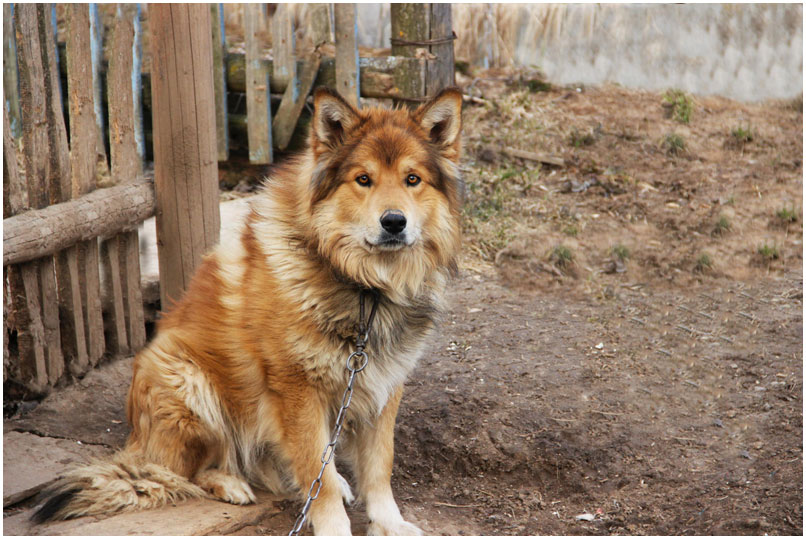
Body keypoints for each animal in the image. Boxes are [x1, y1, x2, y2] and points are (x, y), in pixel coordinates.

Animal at [33, 87, 464, 535]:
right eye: (363, 179)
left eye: (412, 180)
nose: (394, 222)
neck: (363, 285)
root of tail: (136, 440)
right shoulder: (297, 391)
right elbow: (319, 477)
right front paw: (334, 527)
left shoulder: (383, 381)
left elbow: (380, 465)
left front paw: (389, 523)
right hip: (186, 380)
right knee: (178, 471)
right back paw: (228, 482)